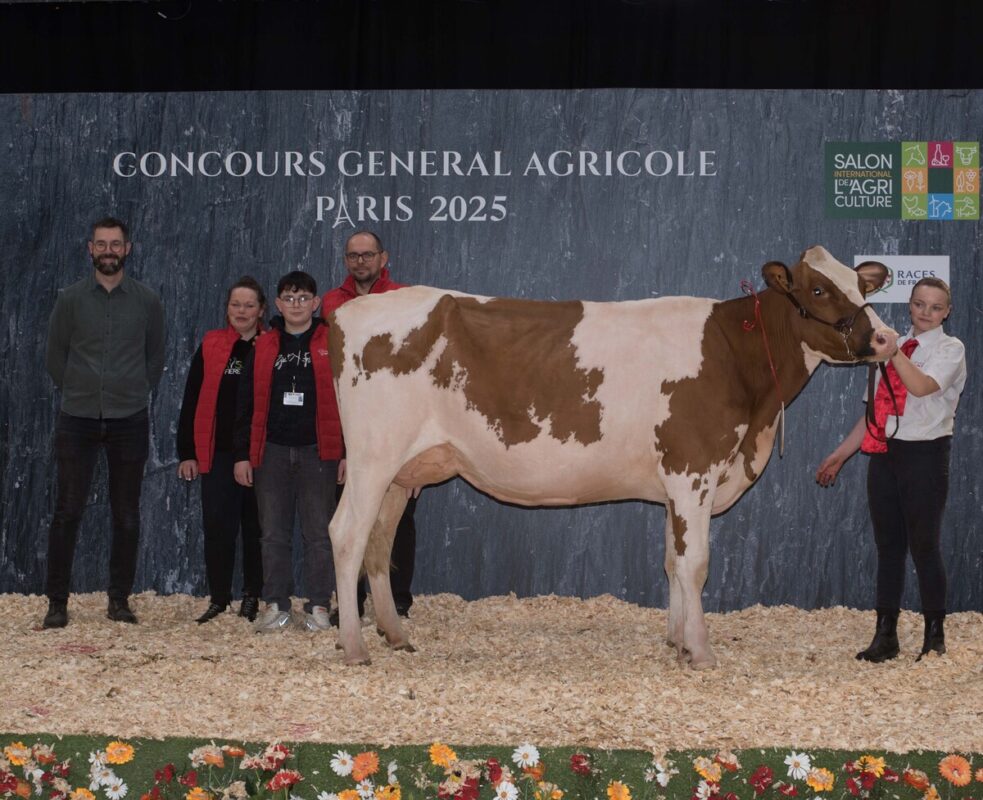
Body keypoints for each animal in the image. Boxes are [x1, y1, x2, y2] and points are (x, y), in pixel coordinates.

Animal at [326, 247, 896, 664]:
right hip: (373, 458)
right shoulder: (693, 470)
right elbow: (696, 564)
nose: (887, 338)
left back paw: (394, 635)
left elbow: (672, 561)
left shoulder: (676, 482)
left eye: (861, 285)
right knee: (348, 535)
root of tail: (348, 311)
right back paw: (354, 648)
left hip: (401, 474)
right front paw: (702, 651)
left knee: (379, 542)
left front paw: (677, 641)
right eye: (818, 288)